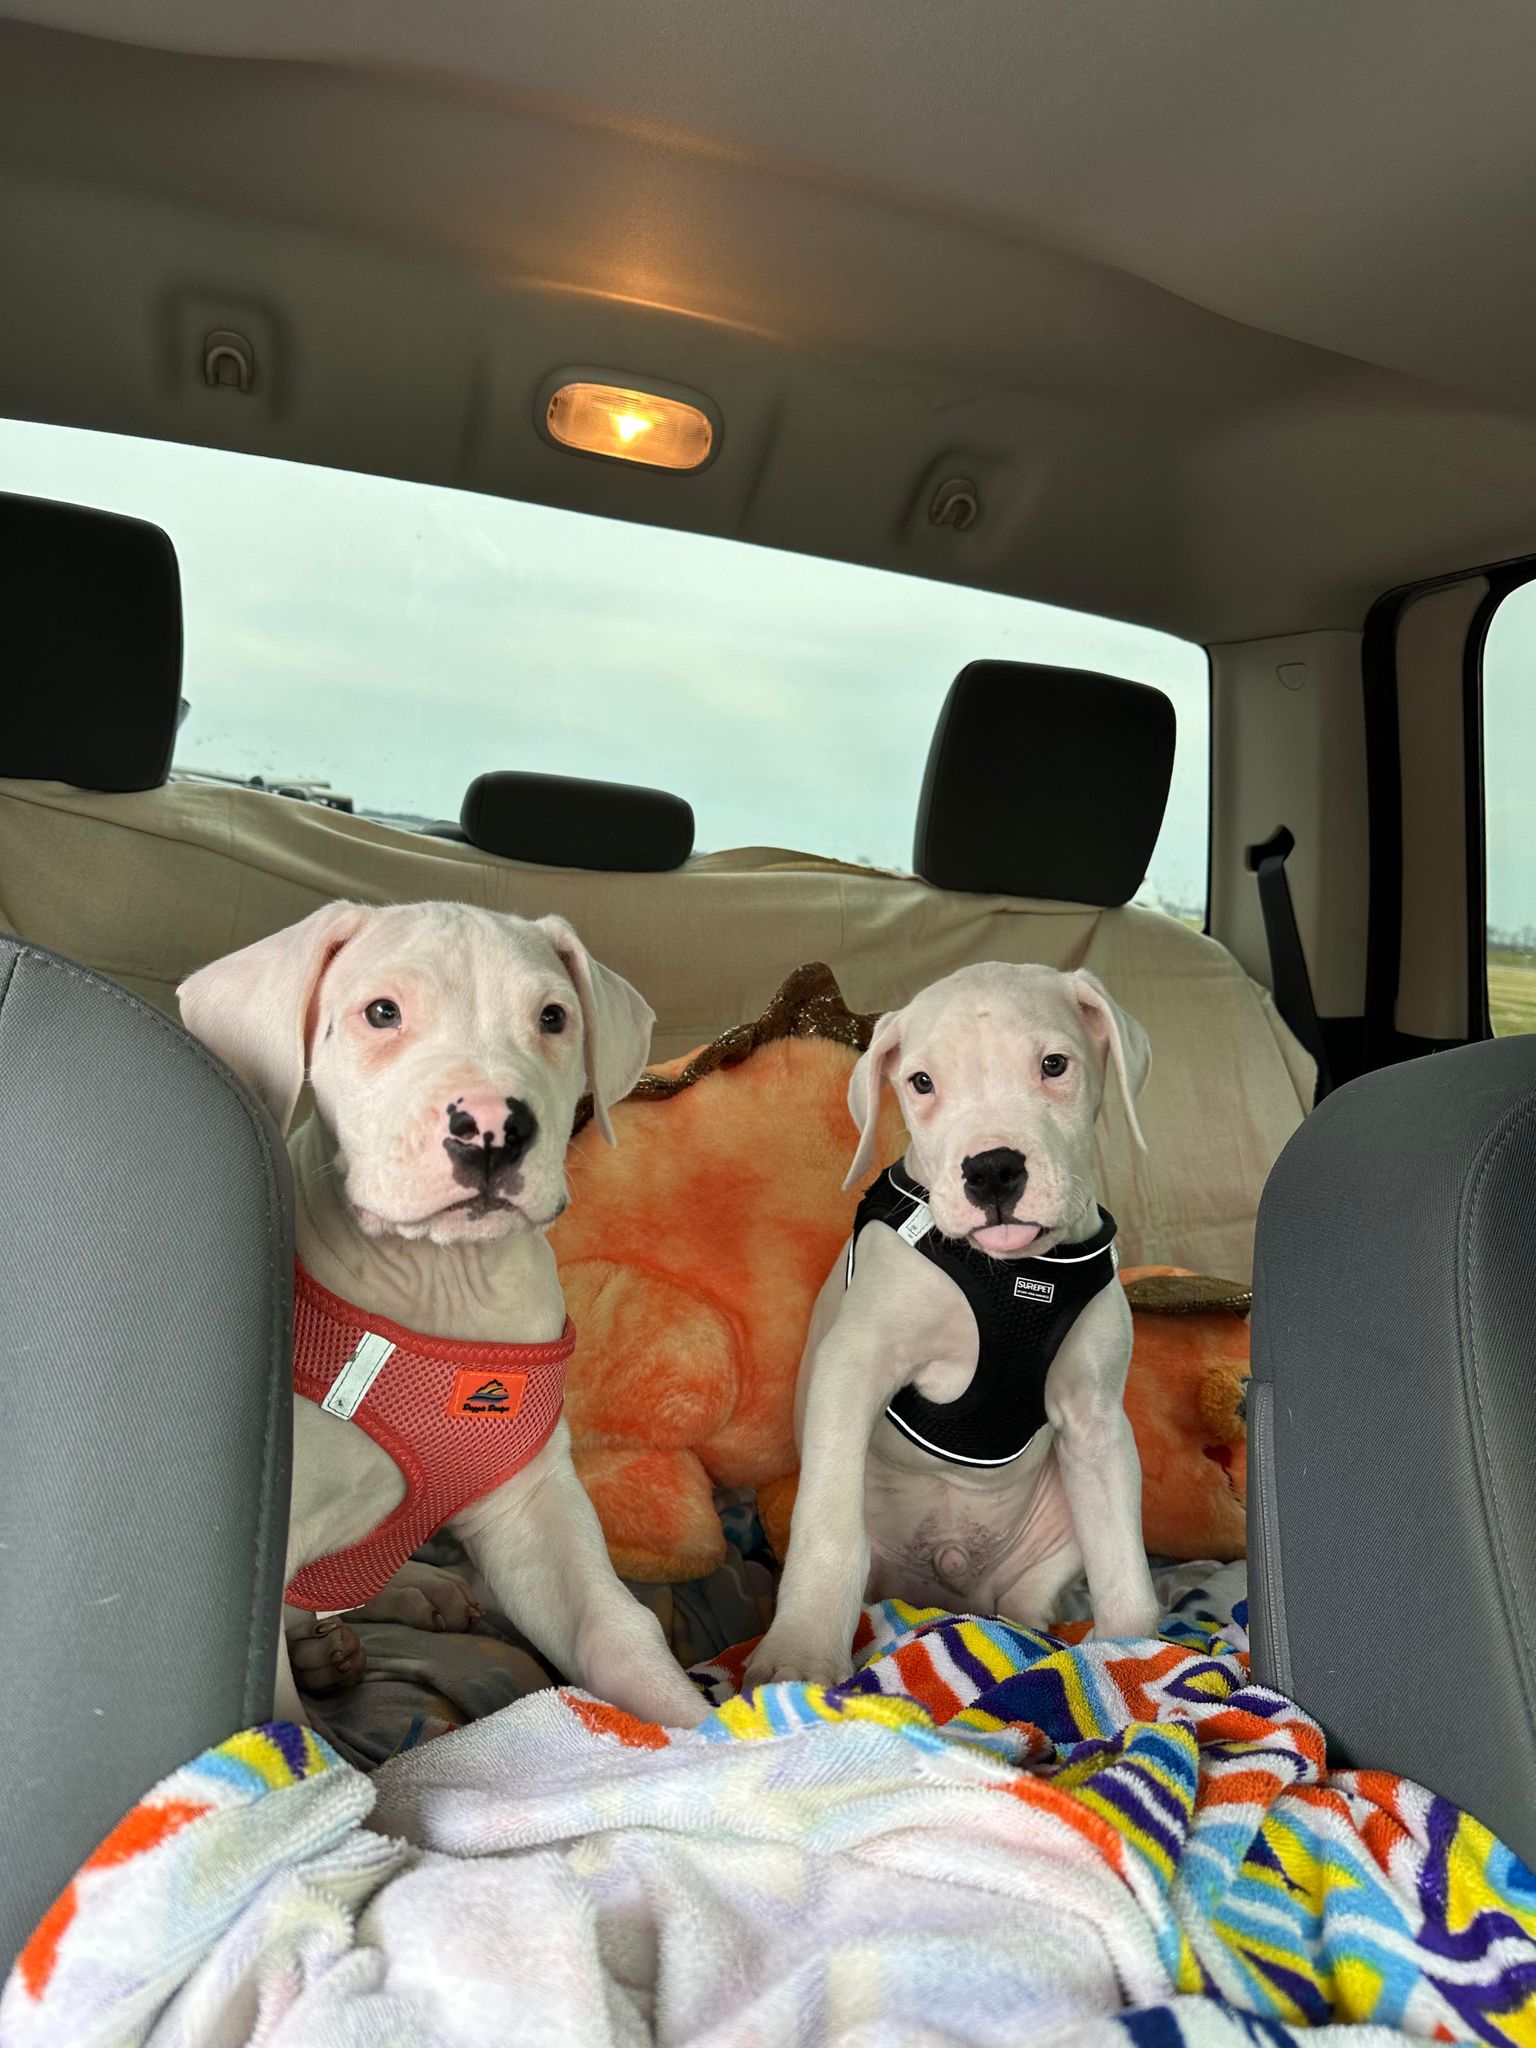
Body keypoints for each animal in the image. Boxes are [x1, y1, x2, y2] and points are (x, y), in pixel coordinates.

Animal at [179, 905, 704, 1720]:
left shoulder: (532, 1509)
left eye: (553, 1018)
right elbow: (278, 1712)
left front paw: (707, 1730)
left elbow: (615, 1628)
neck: (442, 1280)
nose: (492, 1128)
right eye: (381, 1013)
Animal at [749, 958, 1163, 1695]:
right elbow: (828, 1531)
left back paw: (1032, 1633)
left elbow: (1122, 1559)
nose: (992, 1169)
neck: (1009, 1274)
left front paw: (1130, 1650)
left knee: (1032, 1592)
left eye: (1054, 1064)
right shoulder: (851, 1369)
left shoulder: (1095, 1419)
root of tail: (945, 1590)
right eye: (921, 1083)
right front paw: (800, 1653)